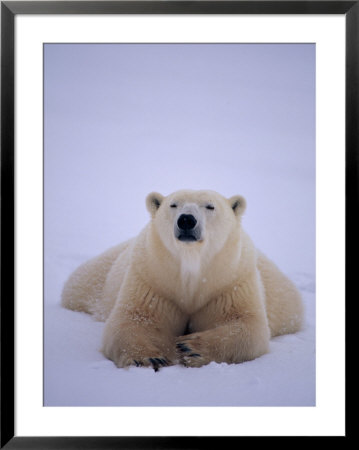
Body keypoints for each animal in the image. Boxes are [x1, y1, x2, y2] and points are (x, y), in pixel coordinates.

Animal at [62, 189, 304, 370]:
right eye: (173, 205)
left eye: (210, 206)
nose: (187, 220)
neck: (190, 269)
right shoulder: (151, 280)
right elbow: (133, 319)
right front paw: (149, 357)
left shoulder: (231, 283)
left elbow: (247, 326)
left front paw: (190, 348)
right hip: (98, 277)